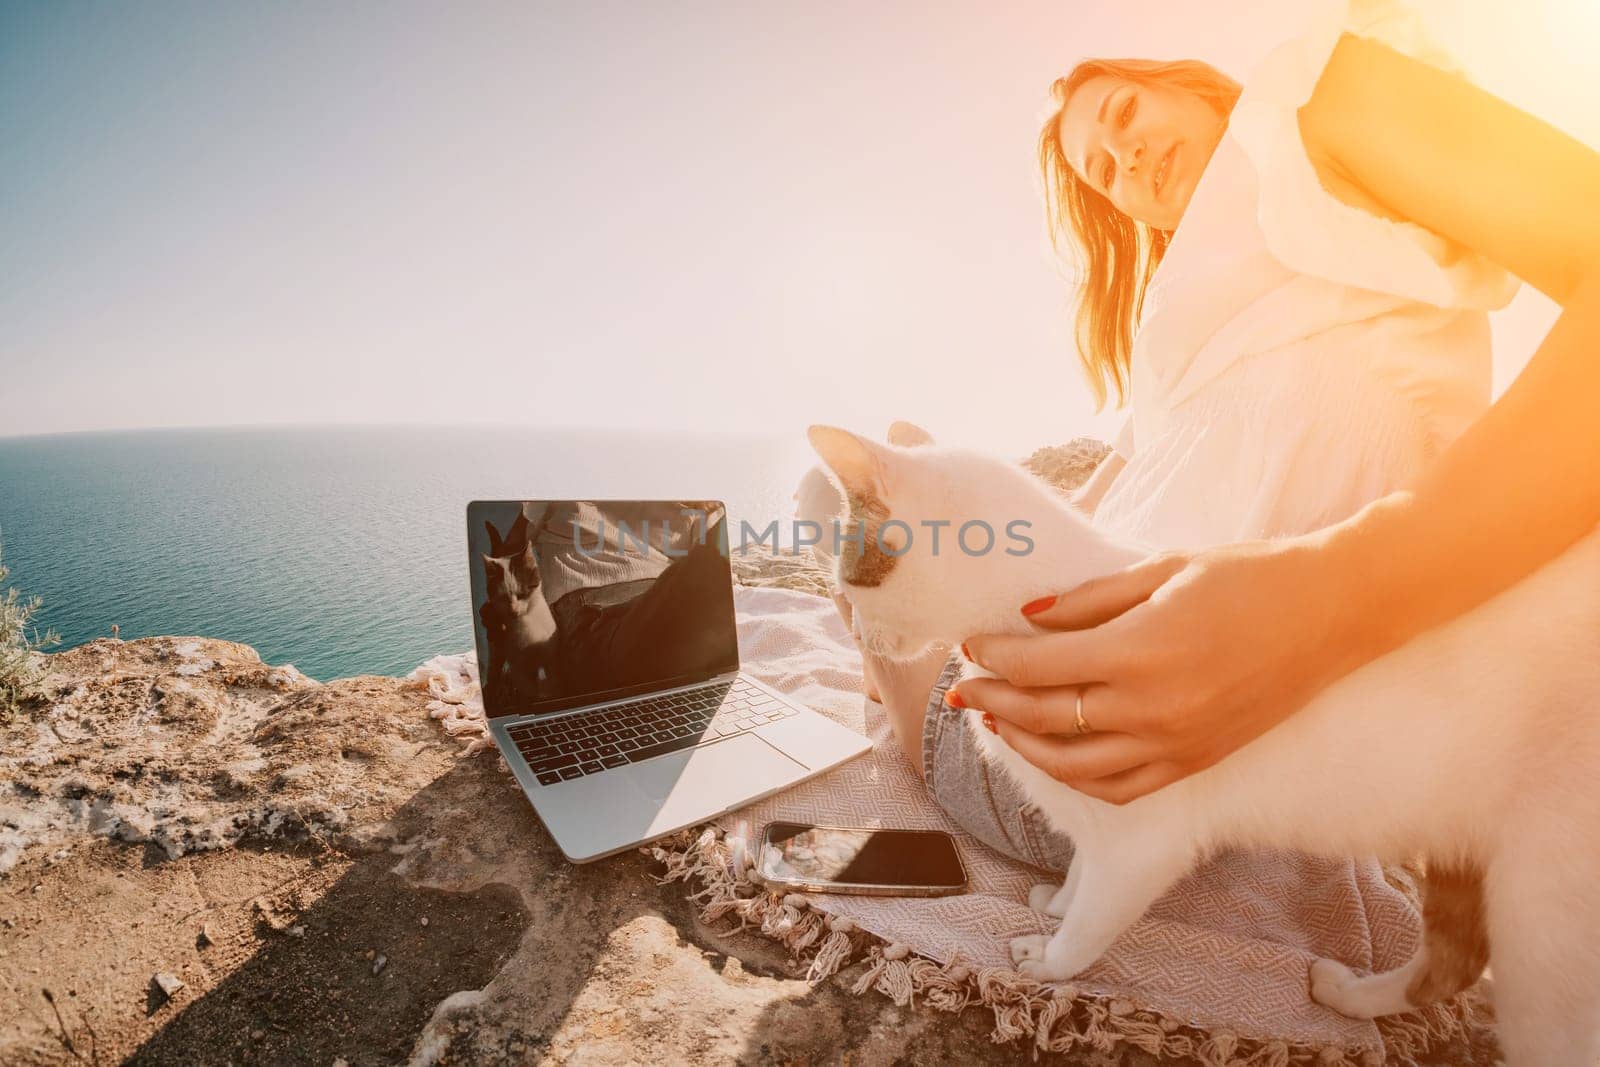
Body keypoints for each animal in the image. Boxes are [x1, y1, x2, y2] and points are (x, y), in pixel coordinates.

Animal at [806, 425, 1600, 1067]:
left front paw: (1053, 960)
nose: (857, 629)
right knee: (1451, 963)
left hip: (1543, 919)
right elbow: (1081, 874)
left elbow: (1095, 917)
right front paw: (1058, 902)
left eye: (847, 576)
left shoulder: (1143, 842)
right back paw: (1351, 996)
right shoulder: (1096, 814)